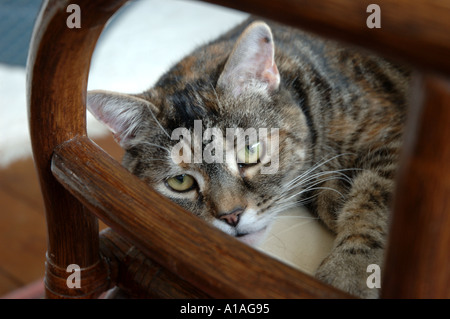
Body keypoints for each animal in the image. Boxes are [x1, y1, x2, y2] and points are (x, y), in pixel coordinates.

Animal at [86, 16, 410, 298]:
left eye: (250, 151)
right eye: (180, 182)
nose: (231, 216)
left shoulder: (394, 136)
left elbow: (373, 198)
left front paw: (349, 272)